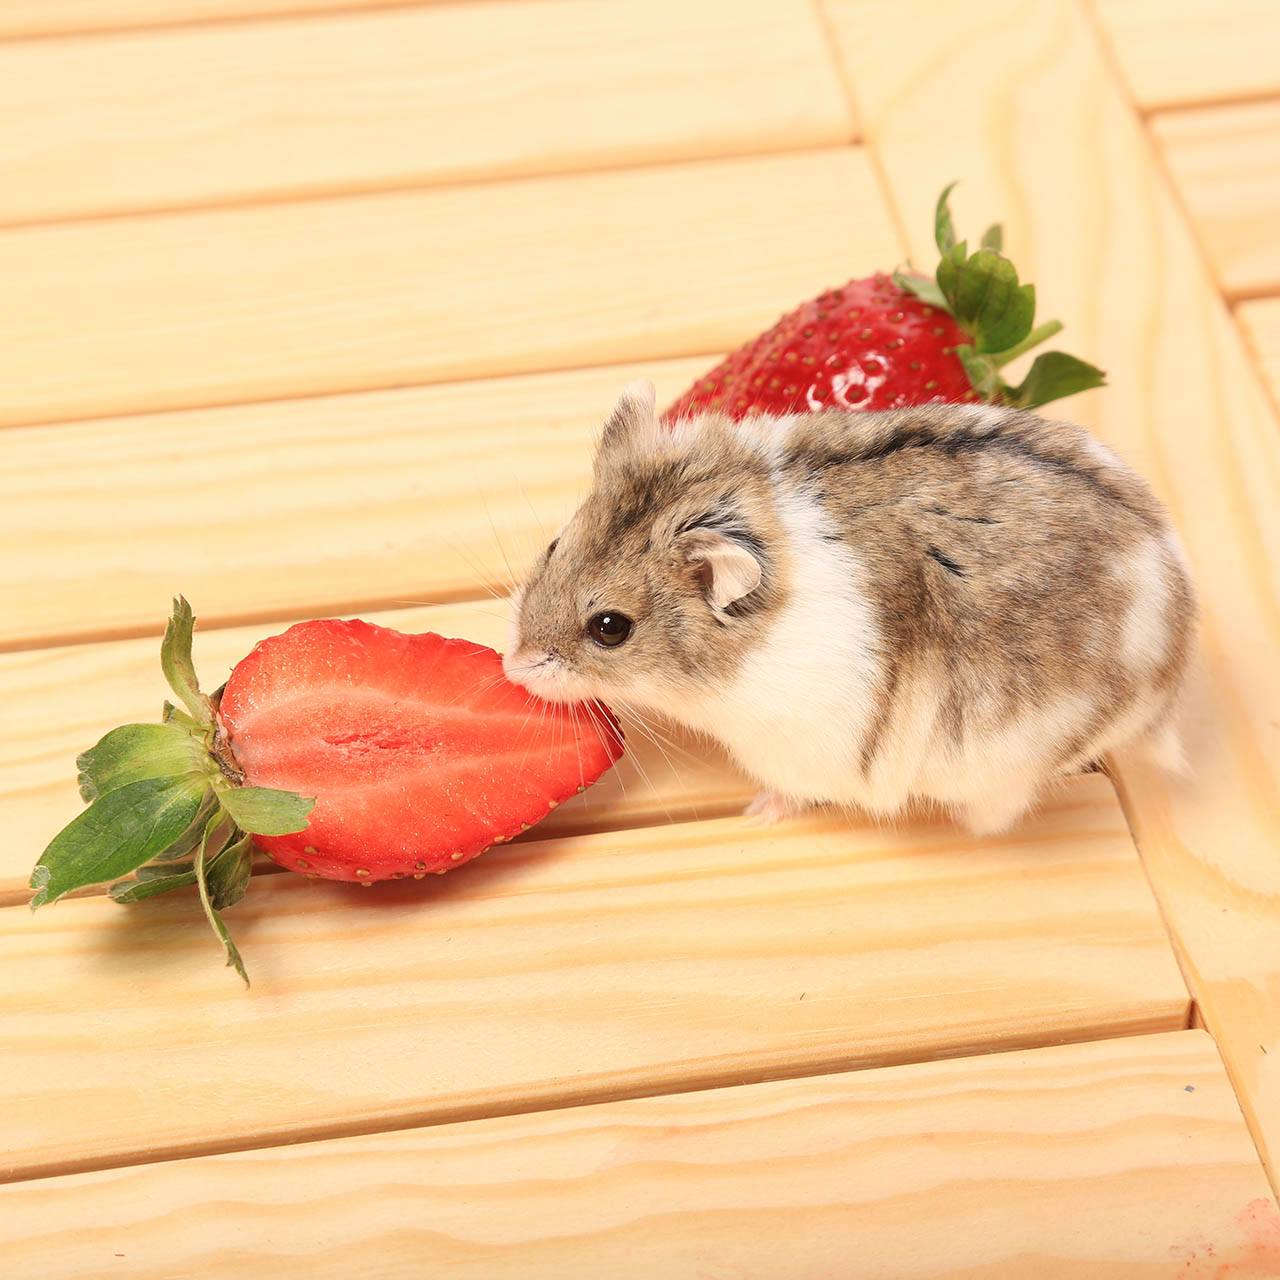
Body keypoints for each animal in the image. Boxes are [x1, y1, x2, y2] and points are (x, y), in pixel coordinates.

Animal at [503, 379, 1196, 836]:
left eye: (610, 629)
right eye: (554, 545)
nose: (511, 668)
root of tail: (1174, 653)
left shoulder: (792, 748)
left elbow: (791, 791)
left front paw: (757, 813)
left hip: (1008, 764)